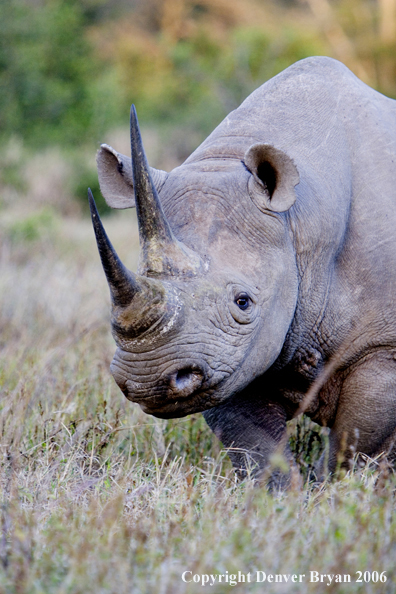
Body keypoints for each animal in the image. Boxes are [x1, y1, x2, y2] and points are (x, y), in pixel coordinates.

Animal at [89, 56, 396, 480]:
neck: (300, 218)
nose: (147, 380)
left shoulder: (384, 345)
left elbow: (354, 440)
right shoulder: (224, 353)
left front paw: (331, 488)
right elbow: (254, 445)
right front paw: (278, 495)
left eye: (243, 302)